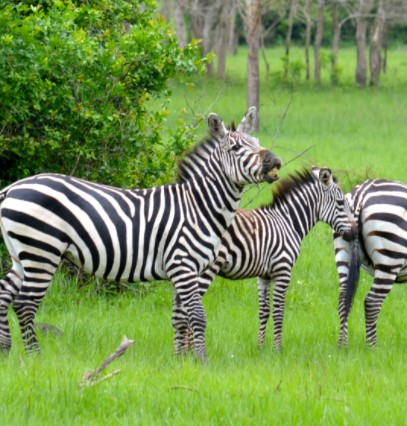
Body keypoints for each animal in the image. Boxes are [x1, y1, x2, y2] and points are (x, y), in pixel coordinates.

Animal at [0, 106, 284, 360]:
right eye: (236, 149)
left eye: (257, 142)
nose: (275, 161)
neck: (198, 206)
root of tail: (12, 187)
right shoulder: (184, 265)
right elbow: (197, 315)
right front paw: (201, 360)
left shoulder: (182, 270)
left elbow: (179, 317)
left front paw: (180, 360)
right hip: (42, 250)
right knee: (25, 304)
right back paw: (35, 357)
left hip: (22, 254)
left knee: (4, 294)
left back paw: (6, 351)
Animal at [180, 165, 358, 352]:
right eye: (341, 203)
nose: (355, 233)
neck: (288, 223)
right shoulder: (283, 270)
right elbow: (278, 310)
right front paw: (277, 348)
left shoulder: (263, 275)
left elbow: (264, 311)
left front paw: (261, 347)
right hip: (205, 268)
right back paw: (189, 351)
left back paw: (187, 351)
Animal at [334, 178, 407, 348]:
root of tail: (361, 194)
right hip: (390, 258)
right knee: (372, 302)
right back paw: (373, 348)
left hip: (343, 251)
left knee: (343, 299)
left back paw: (342, 346)